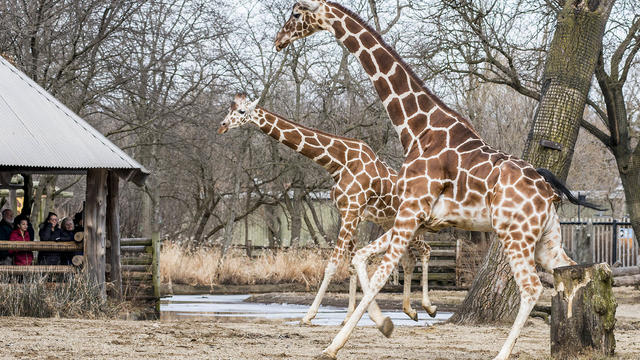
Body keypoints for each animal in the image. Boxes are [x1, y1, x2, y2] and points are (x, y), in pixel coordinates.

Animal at [218, 93, 438, 330]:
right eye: (229, 108)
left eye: (241, 111)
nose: (222, 126)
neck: (339, 162)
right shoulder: (349, 213)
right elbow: (350, 265)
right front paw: (348, 316)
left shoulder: (352, 211)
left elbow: (332, 265)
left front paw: (309, 315)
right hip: (390, 222)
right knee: (409, 259)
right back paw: (411, 310)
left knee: (426, 250)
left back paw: (429, 307)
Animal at [274, 1, 600, 358]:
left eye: (296, 13)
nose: (278, 40)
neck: (417, 129)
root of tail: (548, 190)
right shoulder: (415, 218)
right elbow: (363, 259)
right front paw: (386, 323)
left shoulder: (409, 212)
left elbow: (379, 273)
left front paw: (334, 346)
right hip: (545, 238)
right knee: (572, 272)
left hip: (516, 235)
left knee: (531, 286)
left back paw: (503, 352)